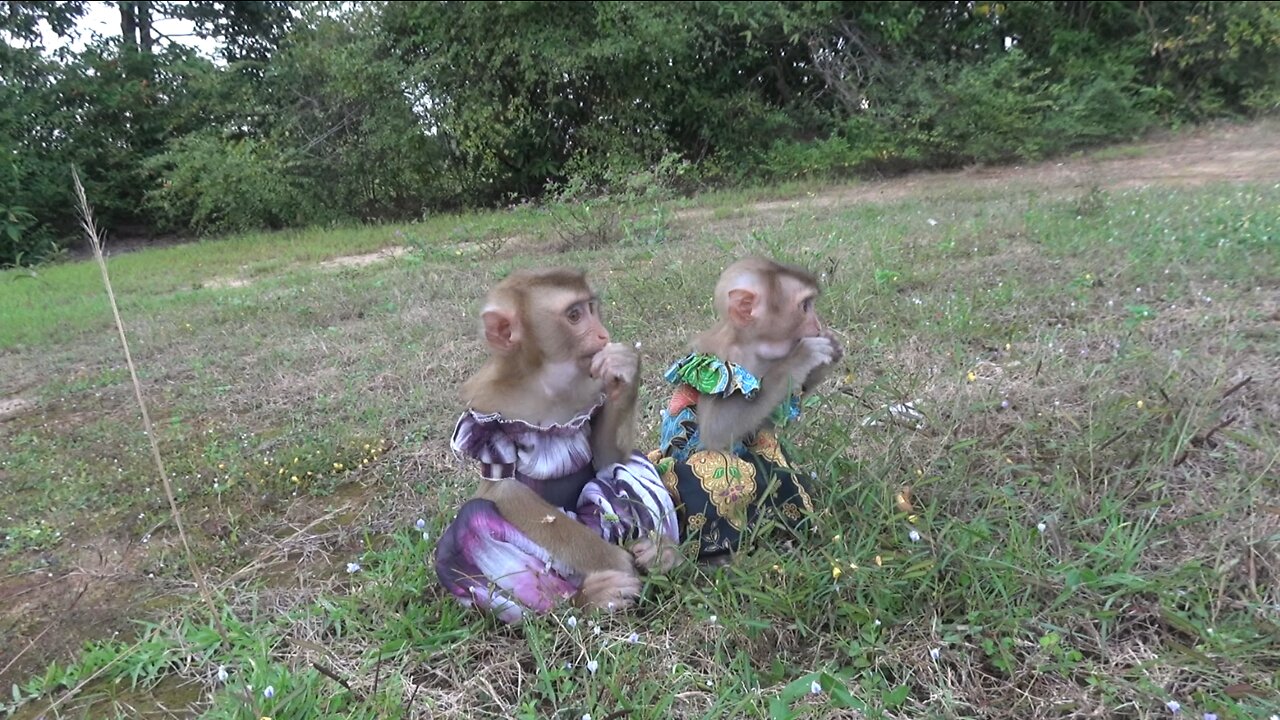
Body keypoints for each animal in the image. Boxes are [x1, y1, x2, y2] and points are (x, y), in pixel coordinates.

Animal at [434, 267, 680, 624]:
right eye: (574, 316)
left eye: (591, 308)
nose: (603, 336)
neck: (546, 380)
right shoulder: (486, 407)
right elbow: (503, 488)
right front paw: (616, 561)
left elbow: (606, 458)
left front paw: (623, 367)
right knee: (473, 521)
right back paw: (584, 598)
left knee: (631, 464)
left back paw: (661, 554)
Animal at [646, 256, 843, 561]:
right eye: (805, 306)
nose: (817, 323)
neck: (753, 346)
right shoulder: (719, 364)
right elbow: (716, 431)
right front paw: (803, 357)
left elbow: (764, 425)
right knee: (725, 465)